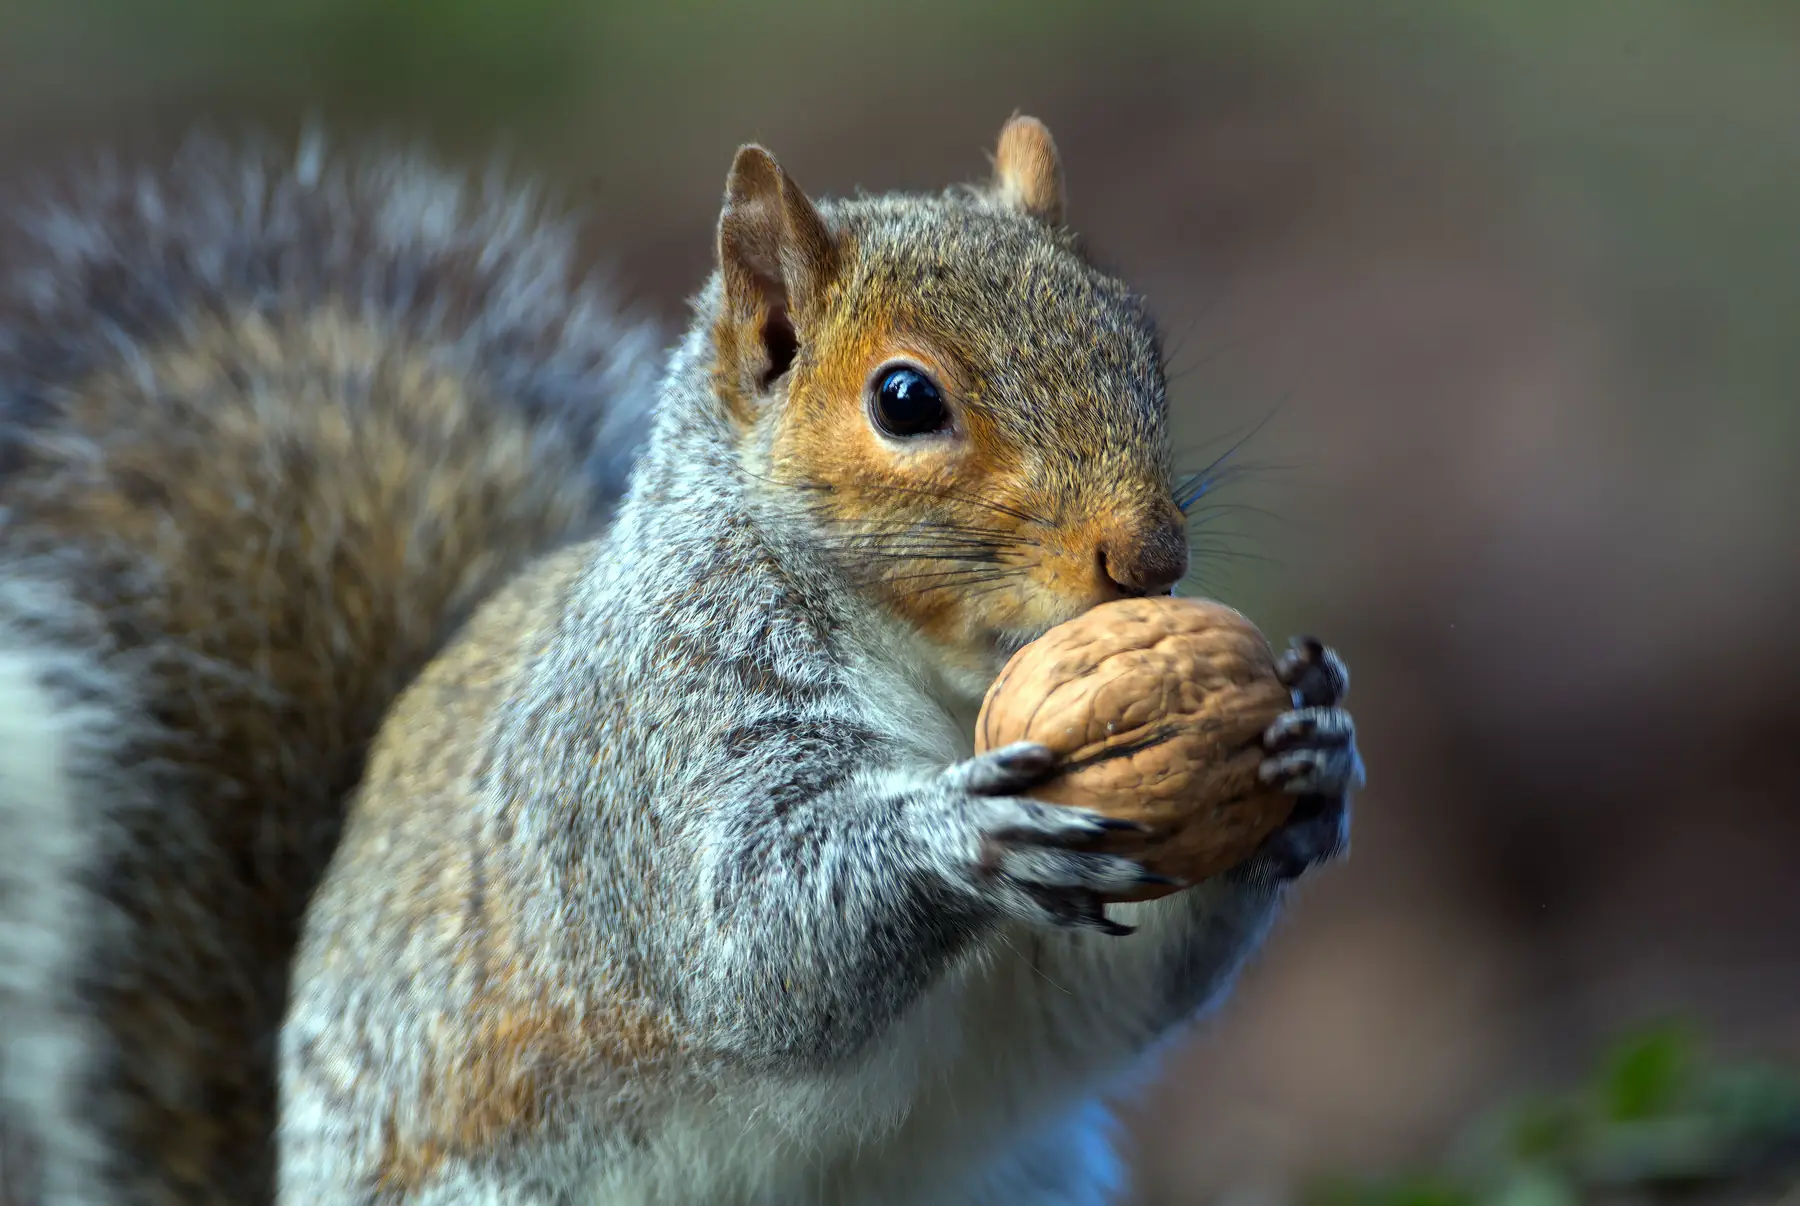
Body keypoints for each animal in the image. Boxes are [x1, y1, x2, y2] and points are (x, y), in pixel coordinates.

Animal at [0, 116, 1362, 1205]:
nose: (1153, 552)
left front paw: (1311, 748)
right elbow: (744, 943)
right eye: (905, 399)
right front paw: (963, 837)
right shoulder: (649, 745)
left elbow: (1104, 998)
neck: (941, 680)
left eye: (1142, 342)